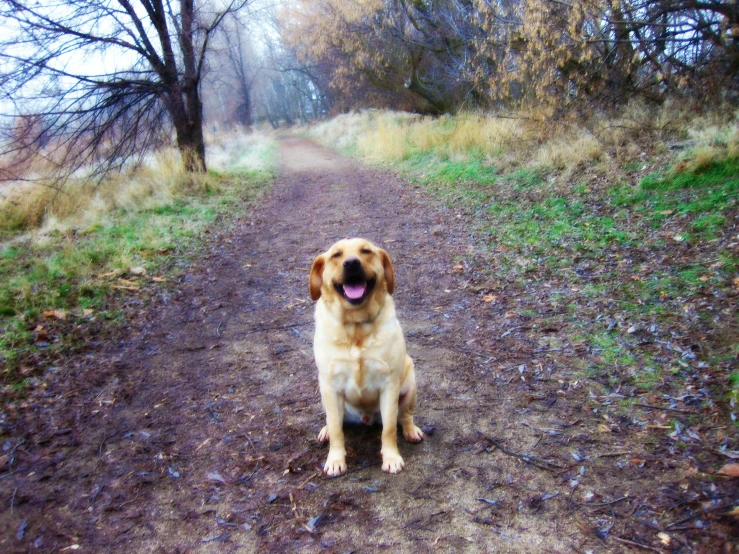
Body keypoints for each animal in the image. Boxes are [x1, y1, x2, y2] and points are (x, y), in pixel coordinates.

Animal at [308, 235, 422, 472]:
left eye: (365, 251)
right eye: (336, 255)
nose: (352, 263)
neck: (356, 325)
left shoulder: (389, 385)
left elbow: (389, 429)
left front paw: (391, 458)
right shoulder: (330, 386)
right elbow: (337, 429)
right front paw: (335, 460)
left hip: (409, 386)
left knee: (404, 416)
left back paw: (411, 430)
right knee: (333, 421)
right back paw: (325, 430)